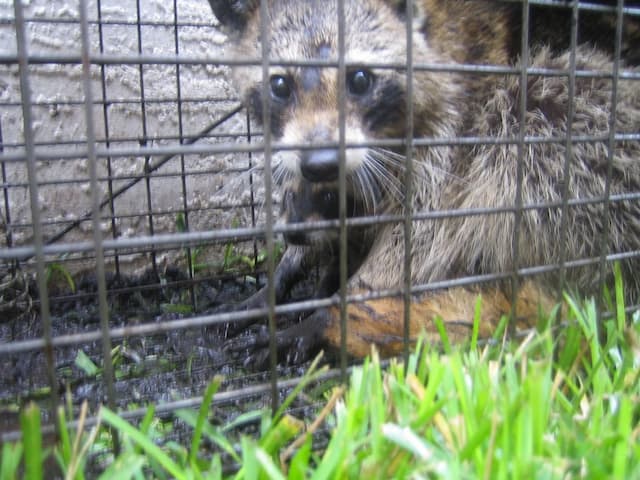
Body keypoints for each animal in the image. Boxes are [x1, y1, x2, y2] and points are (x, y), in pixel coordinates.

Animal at [209, 0, 640, 360]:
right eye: (280, 85)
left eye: (360, 79)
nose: (321, 163)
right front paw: (284, 274)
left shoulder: (454, 120)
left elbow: (423, 231)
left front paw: (334, 311)